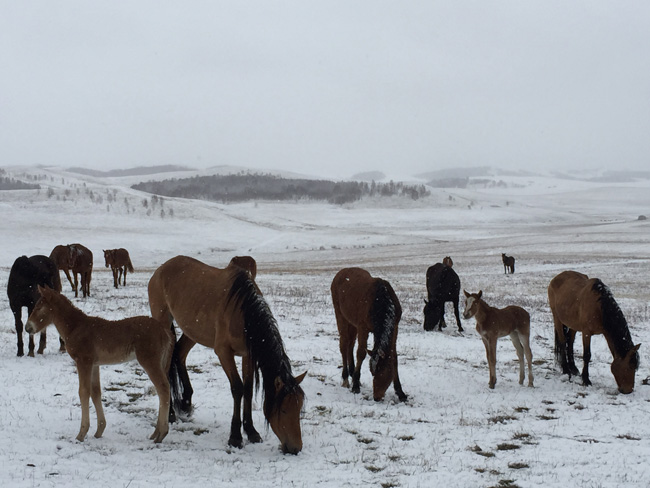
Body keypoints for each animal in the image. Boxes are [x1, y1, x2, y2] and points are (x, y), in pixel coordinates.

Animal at [25, 286, 172, 442]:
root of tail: (164, 332)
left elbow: (83, 391)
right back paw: (155, 432)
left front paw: (81, 434)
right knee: (161, 390)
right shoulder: (94, 364)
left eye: (39, 307)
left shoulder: (83, 361)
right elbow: (95, 392)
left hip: (149, 360)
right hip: (159, 362)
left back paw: (162, 433)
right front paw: (99, 430)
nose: (27, 328)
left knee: (163, 388)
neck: (75, 327)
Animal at [148, 255, 306, 454]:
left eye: (299, 409)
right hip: (164, 323)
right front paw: (235, 437)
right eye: (283, 410)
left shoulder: (248, 354)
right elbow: (237, 388)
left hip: (193, 331)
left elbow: (248, 388)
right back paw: (170, 414)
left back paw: (186, 403)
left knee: (180, 354)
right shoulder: (224, 352)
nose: (296, 448)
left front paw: (251, 431)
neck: (243, 311)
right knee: (167, 367)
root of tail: (161, 269)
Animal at [330, 268, 404, 402]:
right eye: (372, 372)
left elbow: (394, 357)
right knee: (344, 345)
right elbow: (361, 353)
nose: (376, 397)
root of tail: (339, 273)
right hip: (341, 315)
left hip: (352, 323)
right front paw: (355, 386)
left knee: (350, 344)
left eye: (383, 371)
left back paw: (352, 372)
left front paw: (400, 392)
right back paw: (346, 378)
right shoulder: (362, 327)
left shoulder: (395, 326)